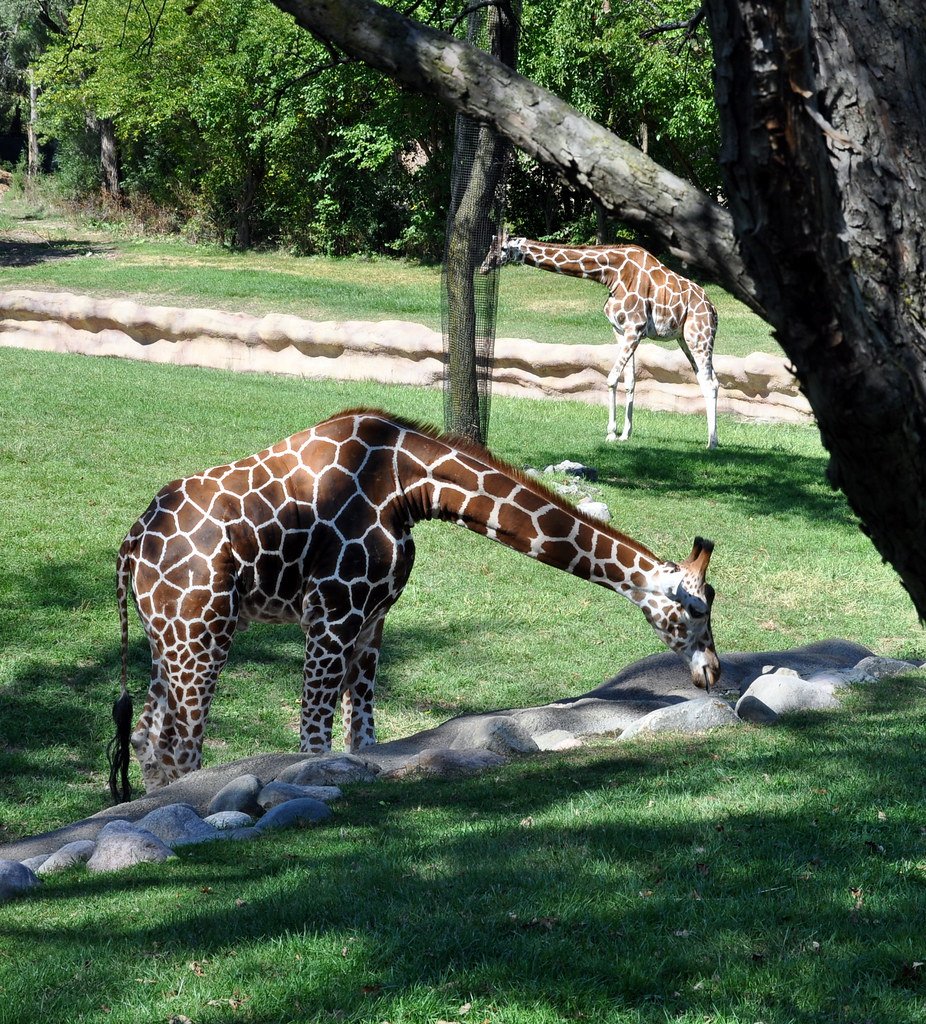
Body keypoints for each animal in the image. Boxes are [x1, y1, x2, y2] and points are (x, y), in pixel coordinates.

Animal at [109, 408, 719, 800]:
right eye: (697, 609)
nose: (712, 671)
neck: (409, 486)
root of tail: (131, 545)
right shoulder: (332, 612)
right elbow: (313, 740)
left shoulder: (372, 618)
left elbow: (363, 736)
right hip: (202, 631)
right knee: (182, 747)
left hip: (167, 635)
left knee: (147, 740)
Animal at [483, 235, 720, 448]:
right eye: (491, 245)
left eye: (503, 248)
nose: (484, 267)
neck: (611, 273)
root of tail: (713, 309)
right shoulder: (620, 330)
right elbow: (630, 381)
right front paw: (625, 434)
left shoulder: (635, 329)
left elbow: (612, 378)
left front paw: (611, 433)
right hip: (684, 339)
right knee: (709, 381)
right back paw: (712, 439)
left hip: (699, 337)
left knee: (710, 383)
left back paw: (711, 443)